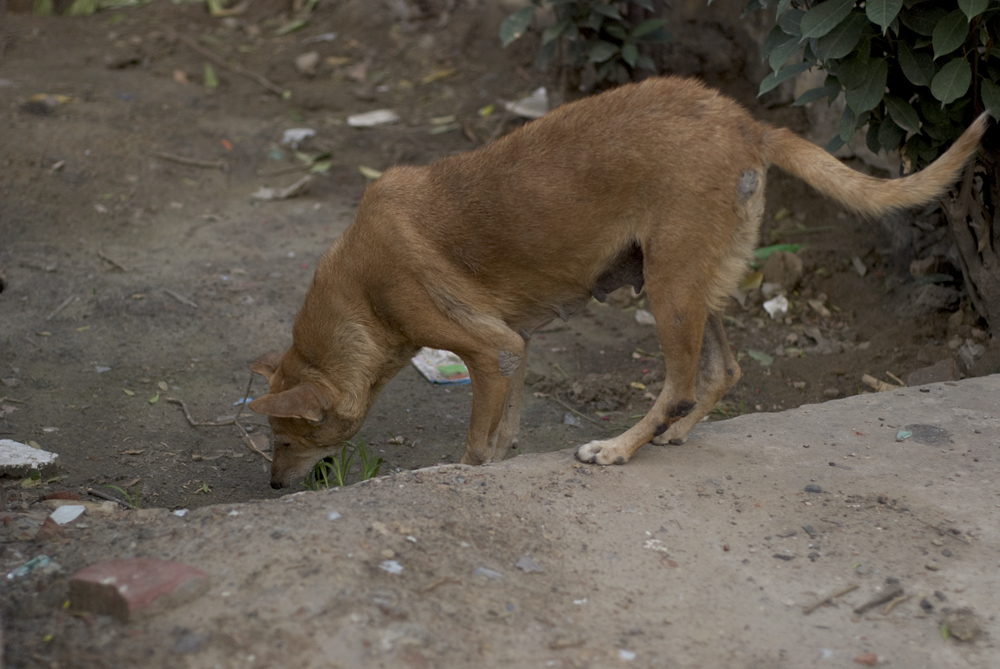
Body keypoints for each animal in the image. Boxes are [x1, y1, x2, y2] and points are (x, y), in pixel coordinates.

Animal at [250, 75, 984, 488]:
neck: (360, 293)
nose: (275, 486)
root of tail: (744, 121)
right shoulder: (514, 349)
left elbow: (476, 447)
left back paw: (619, 448)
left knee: (680, 385)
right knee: (723, 371)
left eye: (285, 439)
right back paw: (673, 434)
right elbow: (505, 432)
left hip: (668, 289)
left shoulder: (491, 350)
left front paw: (462, 470)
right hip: (691, 283)